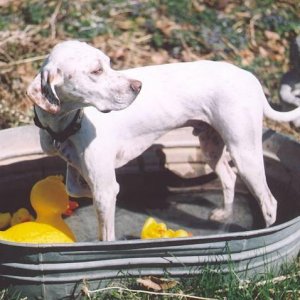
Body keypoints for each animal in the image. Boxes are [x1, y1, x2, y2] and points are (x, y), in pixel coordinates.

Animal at [27, 40, 300, 241]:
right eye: (96, 71)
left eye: (108, 64)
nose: (138, 86)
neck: (67, 124)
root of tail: (250, 78)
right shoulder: (77, 168)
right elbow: (74, 188)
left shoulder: (104, 189)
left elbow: (106, 229)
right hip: (211, 146)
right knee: (229, 177)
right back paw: (225, 215)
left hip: (244, 153)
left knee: (268, 201)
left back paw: (263, 235)